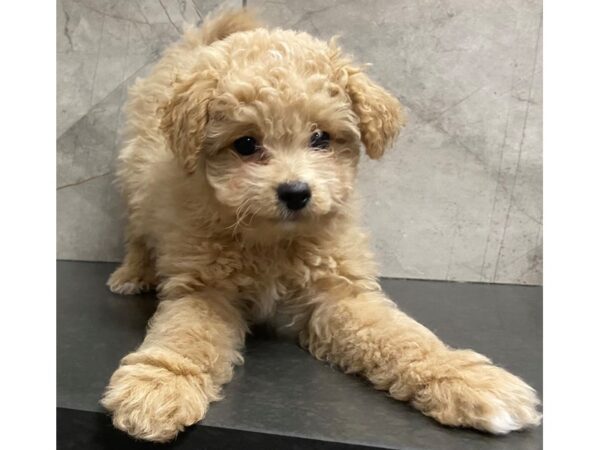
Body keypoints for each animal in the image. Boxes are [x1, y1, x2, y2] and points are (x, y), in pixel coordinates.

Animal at [101, 7, 540, 442]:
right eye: (246, 144)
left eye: (321, 138)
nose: (295, 192)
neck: (275, 240)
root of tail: (196, 48)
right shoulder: (204, 290)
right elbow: (186, 336)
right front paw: (160, 384)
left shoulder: (340, 293)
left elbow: (401, 337)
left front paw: (463, 378)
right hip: (134, 180)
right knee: (137, 232)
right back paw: (131, 274)